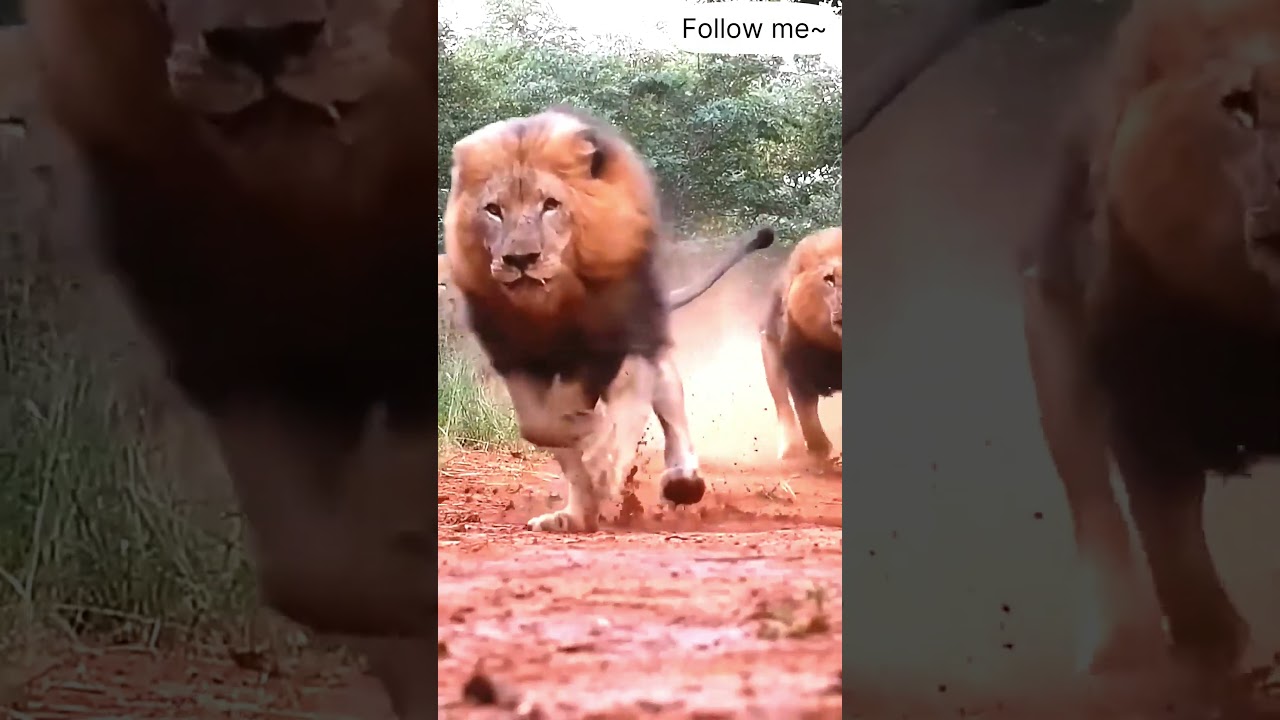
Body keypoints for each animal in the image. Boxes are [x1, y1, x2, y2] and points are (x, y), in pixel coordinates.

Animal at [443, 106, 776, 532]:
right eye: (493, 210)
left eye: (550, 205)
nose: (520, 259)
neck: (552, 307)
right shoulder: (516, 359)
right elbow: (544, 429)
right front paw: (586, 454)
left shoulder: (618, 345)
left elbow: (616, 421)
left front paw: (600, 449)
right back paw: (574, 513)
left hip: (647, 339)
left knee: (669, 401)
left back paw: (680, 480)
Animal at [761, 227, 842, 464]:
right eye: (829, 279)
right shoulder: (797, 370)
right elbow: (807, 415)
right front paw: (820, 451)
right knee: (783, 405)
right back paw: (790, 449)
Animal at [1020, 0, 1280, 701]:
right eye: (1240, 106)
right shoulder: (1144, 403)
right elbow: (1173, 546)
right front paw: (1215, 654)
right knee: (1093, 501)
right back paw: (1118, 644)